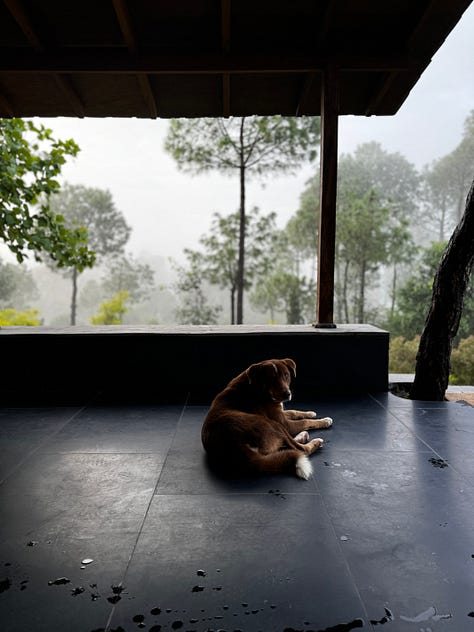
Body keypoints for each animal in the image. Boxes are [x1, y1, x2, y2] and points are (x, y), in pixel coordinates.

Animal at [202, 360, 332, 478]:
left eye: (286, 375)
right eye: (271, 378)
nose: (287, 394)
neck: (256, 387)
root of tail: (236, 447)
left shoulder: (280, 413)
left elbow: (293, 412)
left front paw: (310, 412)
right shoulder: (284, 423)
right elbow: (305, 422)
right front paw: (324, 421)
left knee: (285, 446)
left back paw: (302, 436)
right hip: (272, 425)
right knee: (299, 449)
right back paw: (315, 441)